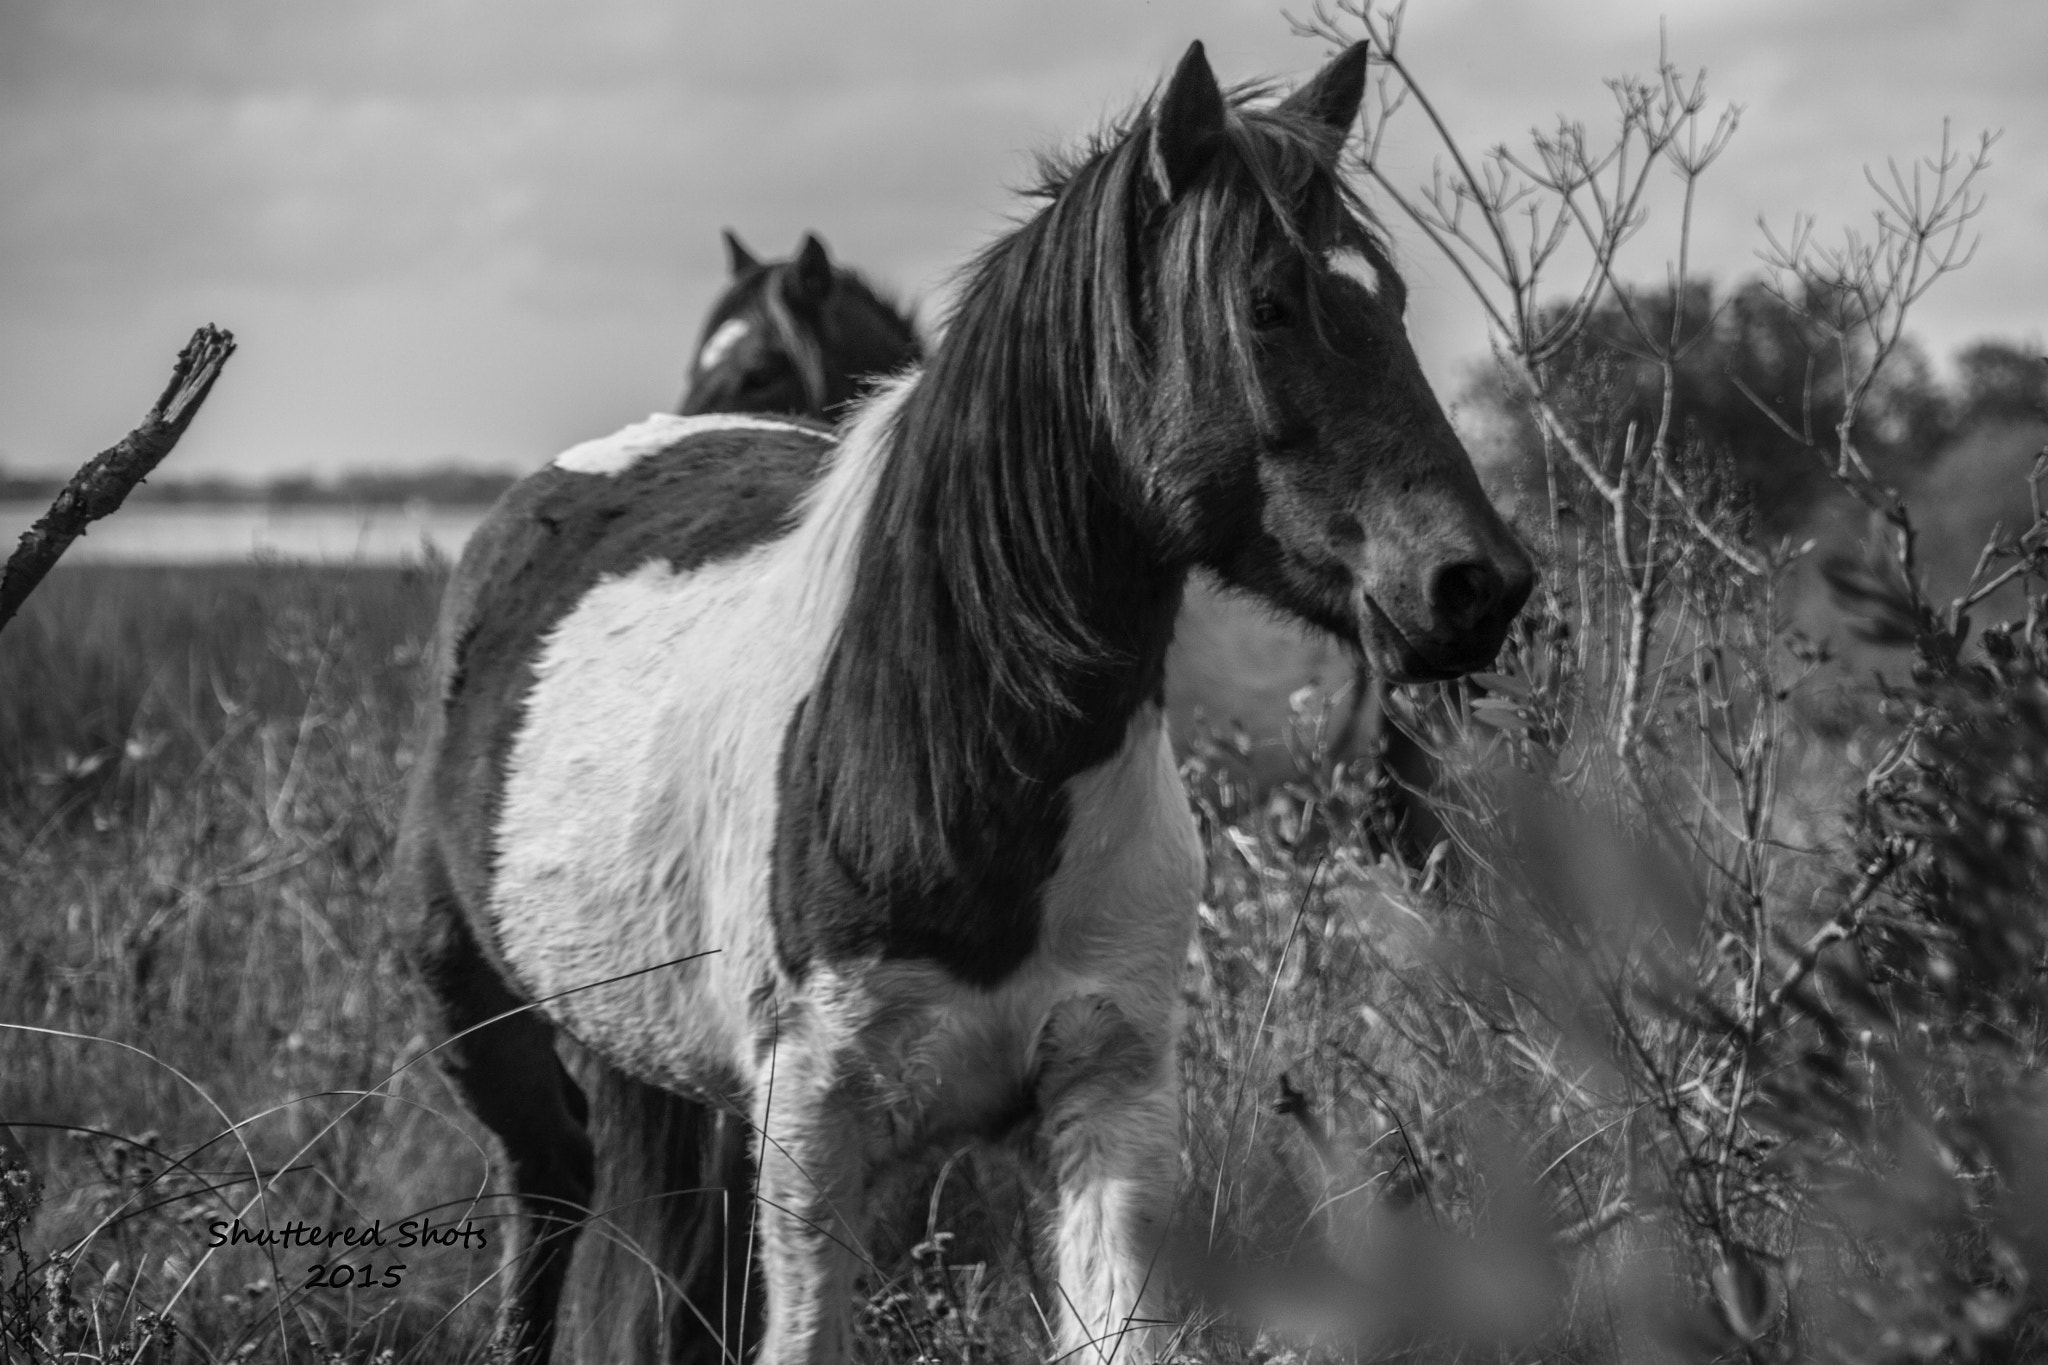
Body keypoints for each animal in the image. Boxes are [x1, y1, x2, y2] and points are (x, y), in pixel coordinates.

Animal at [399, 38, 1533, 1365]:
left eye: (1388, 301)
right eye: (1266, 304)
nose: (1475, 585)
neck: (945, 759)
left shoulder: (1109, 1102)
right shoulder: (812, 1138)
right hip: (480, 1014)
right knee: (549, 1197)